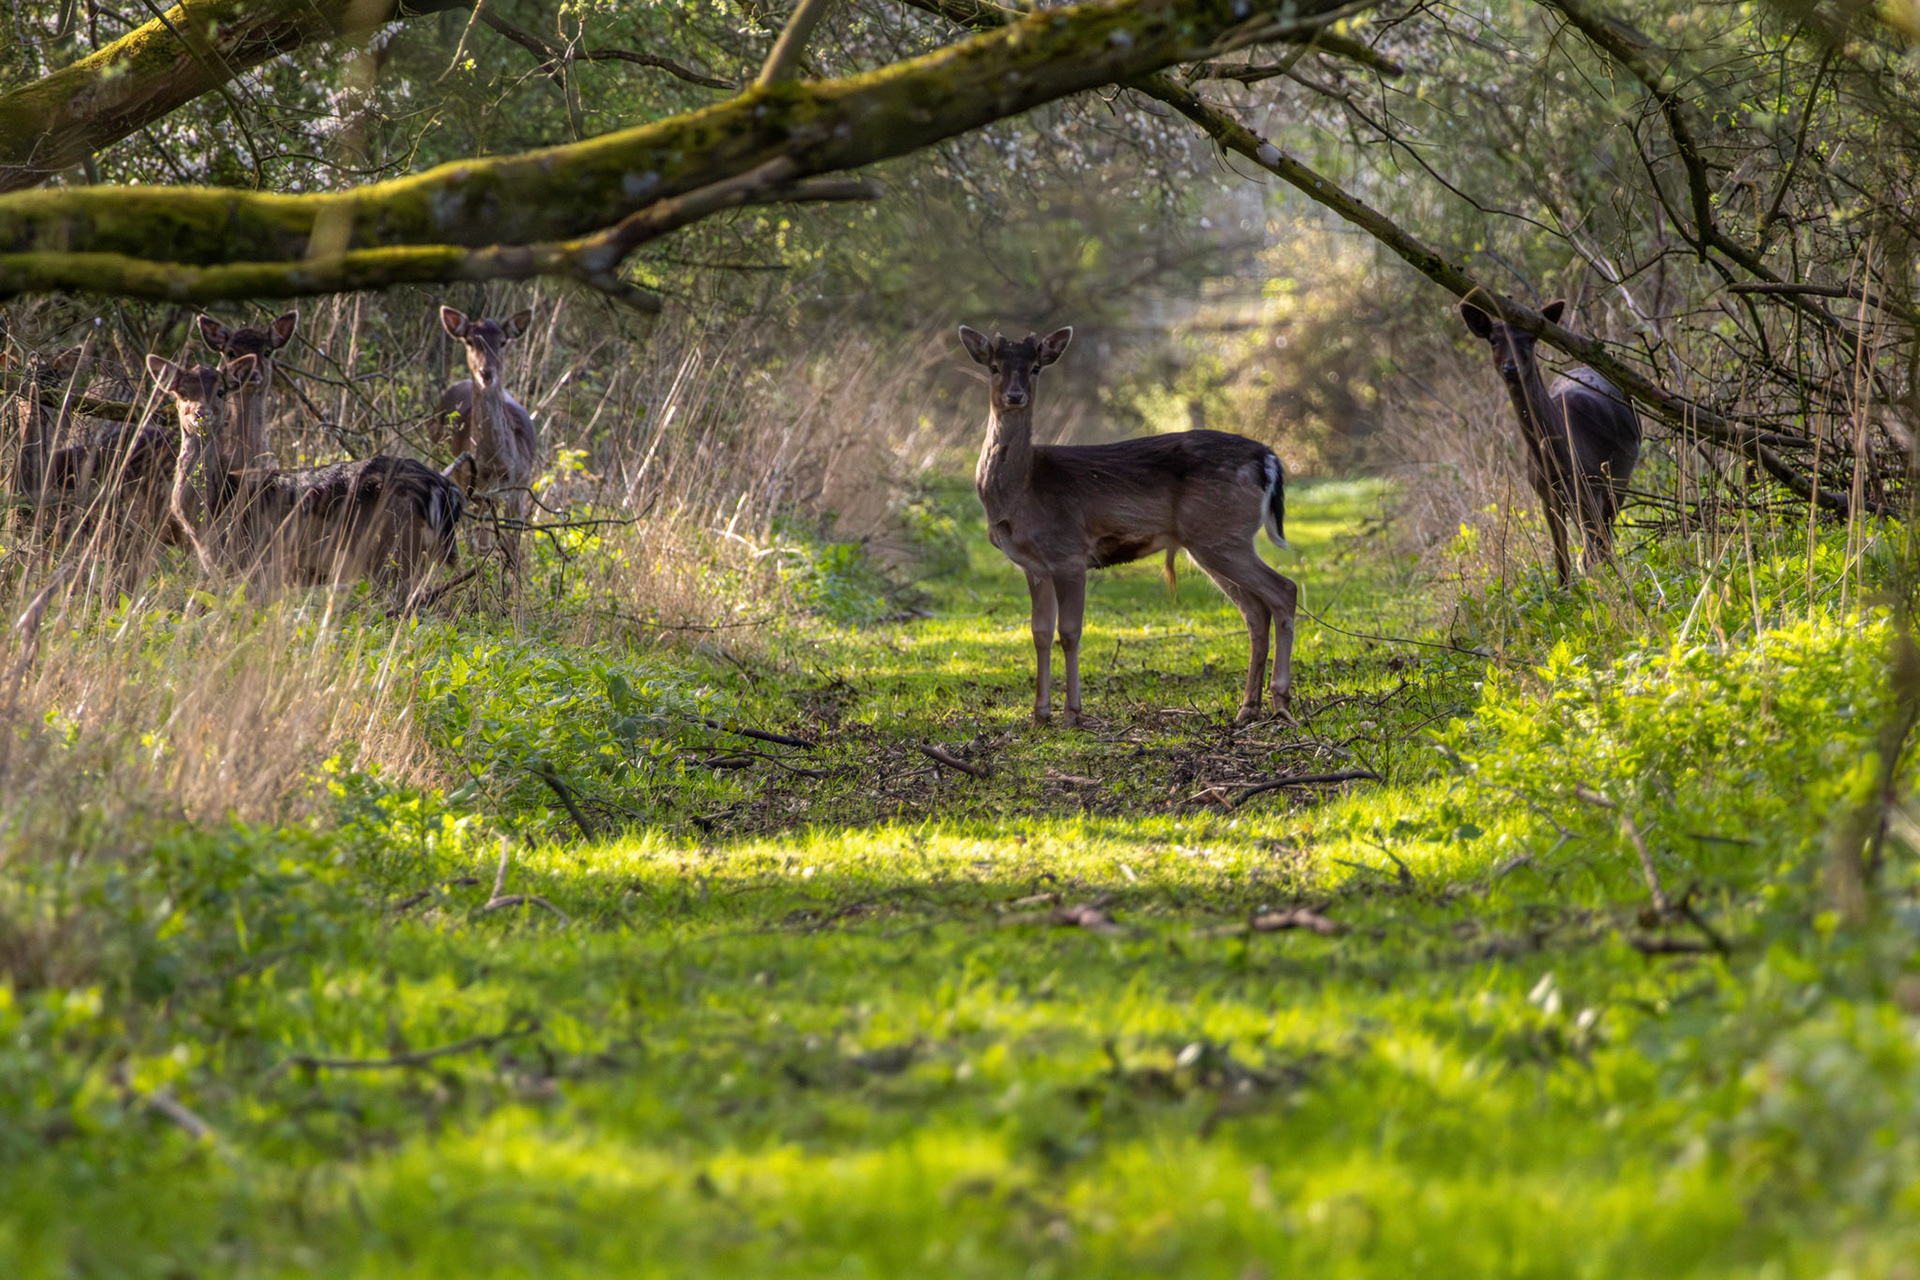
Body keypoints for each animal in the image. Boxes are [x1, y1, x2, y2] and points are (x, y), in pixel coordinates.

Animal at [147, 354, 464, 605]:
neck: (212, 512)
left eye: (221, 391)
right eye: (180, 392)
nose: (201, 414)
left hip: (395, 550)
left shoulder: (259, 565)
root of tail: (445, 490)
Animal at [433, 306, 538, 573]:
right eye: (470, 341)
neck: (496, 467)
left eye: (502, 341)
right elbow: (477, 547)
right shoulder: (472, 491)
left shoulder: (519, 489)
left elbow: (514, 551)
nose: (486, 372)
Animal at [960, 325, 1299, 727]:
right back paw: (1248, 707)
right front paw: (1039, 714)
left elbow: (1069, 632)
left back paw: (1280, 701)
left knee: (1284, 589)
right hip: (1214, 541)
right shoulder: (1034, 566)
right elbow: (1039, 633)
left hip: (1220, 535)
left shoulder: (1068, 552)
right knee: (1255, 610)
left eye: (1035, 368)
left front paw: (1072, 714)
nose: (1015, 396)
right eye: (994, 367)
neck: (1022, 491)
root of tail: (1268, 459)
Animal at [1459, 298, 1642, 585]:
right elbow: (1561, 562)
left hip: (1617, 480)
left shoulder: (1591, 484)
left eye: (1529, 338)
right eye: (1493, 340)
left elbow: (1591, 555)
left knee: (1604, 539)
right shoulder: (1547, 496)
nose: (1511, 368)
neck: (1556, 462)